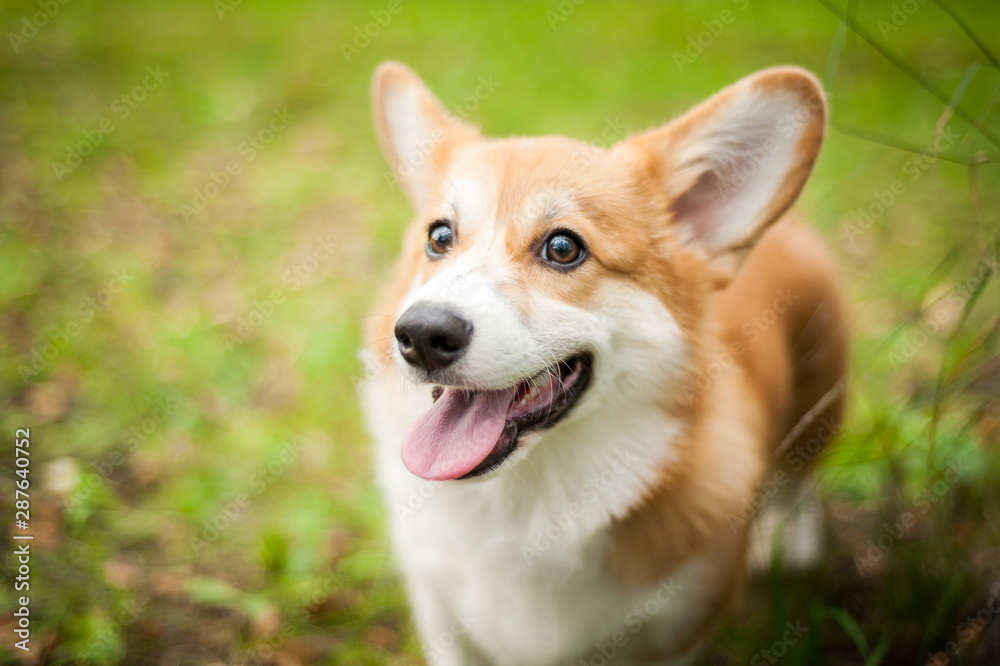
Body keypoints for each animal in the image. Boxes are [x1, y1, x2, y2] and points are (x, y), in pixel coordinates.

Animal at [360, 63, 844, 664]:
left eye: (564, 248)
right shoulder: (438, 611)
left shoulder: (683, 632)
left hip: (821, 402)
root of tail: (790, 227)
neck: (525, 506)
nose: (422, 335)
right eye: (439, 237)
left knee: (802, 475)